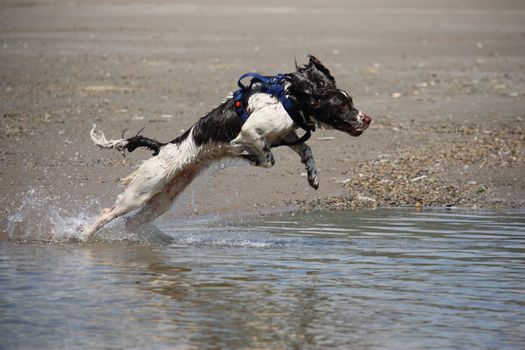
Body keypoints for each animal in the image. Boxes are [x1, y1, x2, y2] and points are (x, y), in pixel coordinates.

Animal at [84, 56, 370, 239]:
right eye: (342, 105)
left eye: (350, 101)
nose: (367, 119)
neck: (290, 100)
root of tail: (162, 147)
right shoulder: (249, 132)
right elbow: (267, 157)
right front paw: (252, 157)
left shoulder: (287, 134)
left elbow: (306, 149)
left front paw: (313, 175)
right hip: (143, 190)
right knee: (108, 213)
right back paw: (84, 235)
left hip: (163, 200)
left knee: (131, 221)